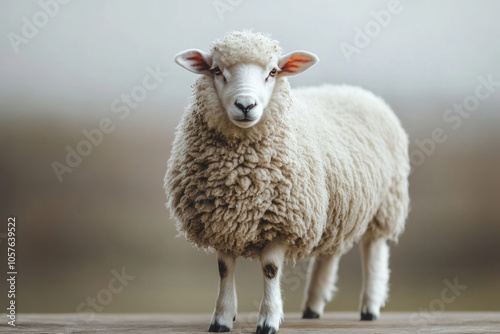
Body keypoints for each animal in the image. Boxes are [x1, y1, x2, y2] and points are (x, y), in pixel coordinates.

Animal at [165, 30, 410, 332]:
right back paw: (313, 306)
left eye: (272, 72)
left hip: (385, 204)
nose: (245, 105)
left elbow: (270, 269)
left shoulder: (283, 221)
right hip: (332, 207)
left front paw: (268, 319)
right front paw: (222, 317)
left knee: (373, 250)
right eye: (216, 70)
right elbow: (224, 269)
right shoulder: (221, 220)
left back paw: (370, 307)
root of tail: (356, 90)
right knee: (328, 254)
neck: (240, 178)